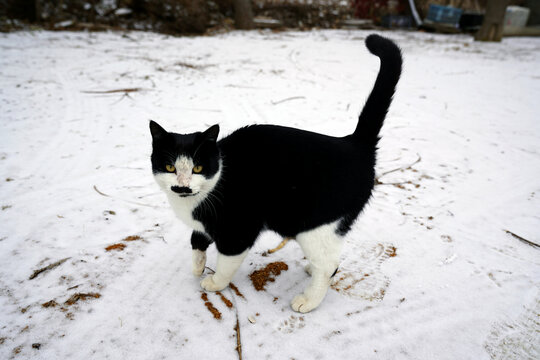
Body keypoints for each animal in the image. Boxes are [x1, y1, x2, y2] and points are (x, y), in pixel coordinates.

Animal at [149, 33, 400, 312]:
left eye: (198, 167)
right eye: (170, 167)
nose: (182, 185)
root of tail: (354, 143)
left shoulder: (238, 229)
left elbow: (226, 261)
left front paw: (215, 282)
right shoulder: (205, 224)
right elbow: (197, 238)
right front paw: (198, 266)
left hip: (316, 226)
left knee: (329, 265)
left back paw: (308, 300)